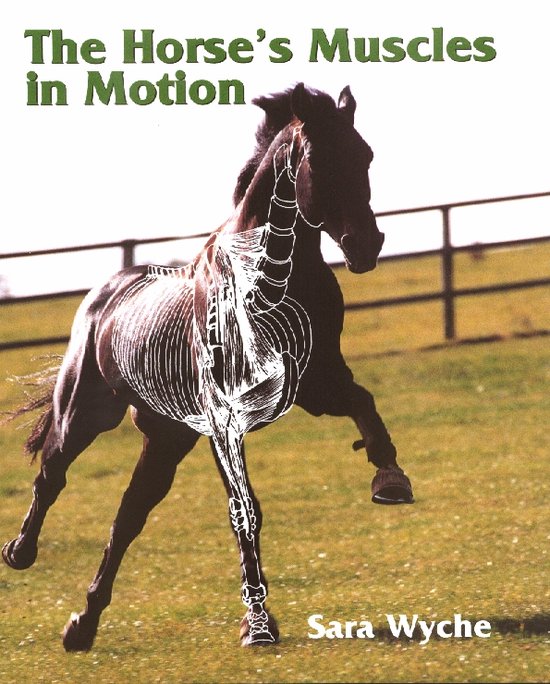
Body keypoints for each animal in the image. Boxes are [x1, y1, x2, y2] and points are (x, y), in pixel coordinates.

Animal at [2, 83, 413, 650]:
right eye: (318, 160)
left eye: (365, 155)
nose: (366, 245)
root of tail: (103, 296)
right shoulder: (225, 420)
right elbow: (245, 512)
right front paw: (256, 625)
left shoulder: (315, 383)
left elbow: (363, 403)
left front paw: (390, 479)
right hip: (83, 414)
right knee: (52, 477)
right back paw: (20, 554)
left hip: (166, 439)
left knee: (128, 516)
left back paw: (82, 626)